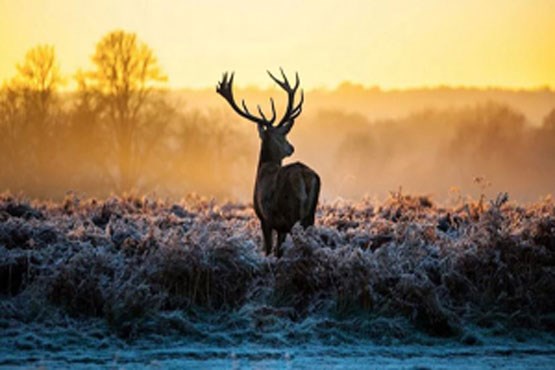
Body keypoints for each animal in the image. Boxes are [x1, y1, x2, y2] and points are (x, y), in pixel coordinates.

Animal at [217, 68, 322, 258]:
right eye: (282, 136)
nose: (291, 147)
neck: (263, 168)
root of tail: (305, 177)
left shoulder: (265, 219)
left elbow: (269, 249)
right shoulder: (278, 225)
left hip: (290, 214)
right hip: (310, 215)